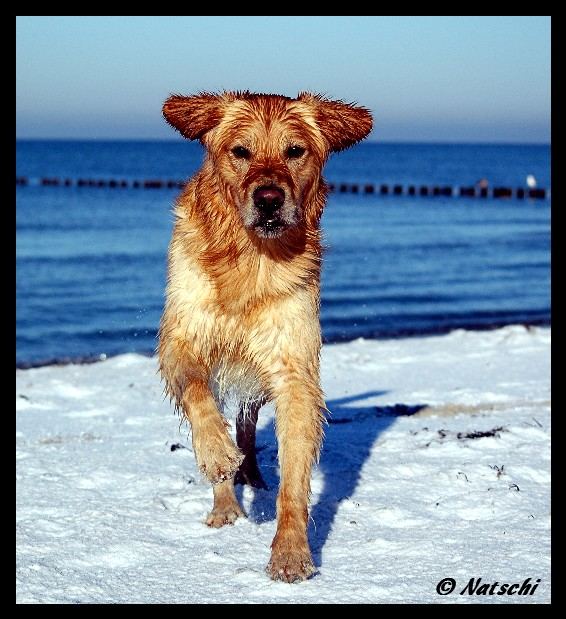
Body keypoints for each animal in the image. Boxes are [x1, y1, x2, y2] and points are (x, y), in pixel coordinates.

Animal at [159, 91, 372, 580]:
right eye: (241, 152)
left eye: (295, 151)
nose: (270, 199)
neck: (250, 259)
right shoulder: (183, 340)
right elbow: (197, 392)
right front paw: (218, 456)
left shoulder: (294, 369)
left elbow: (294, 475)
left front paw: (291, 551)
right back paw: (225, 498)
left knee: (248, 426)